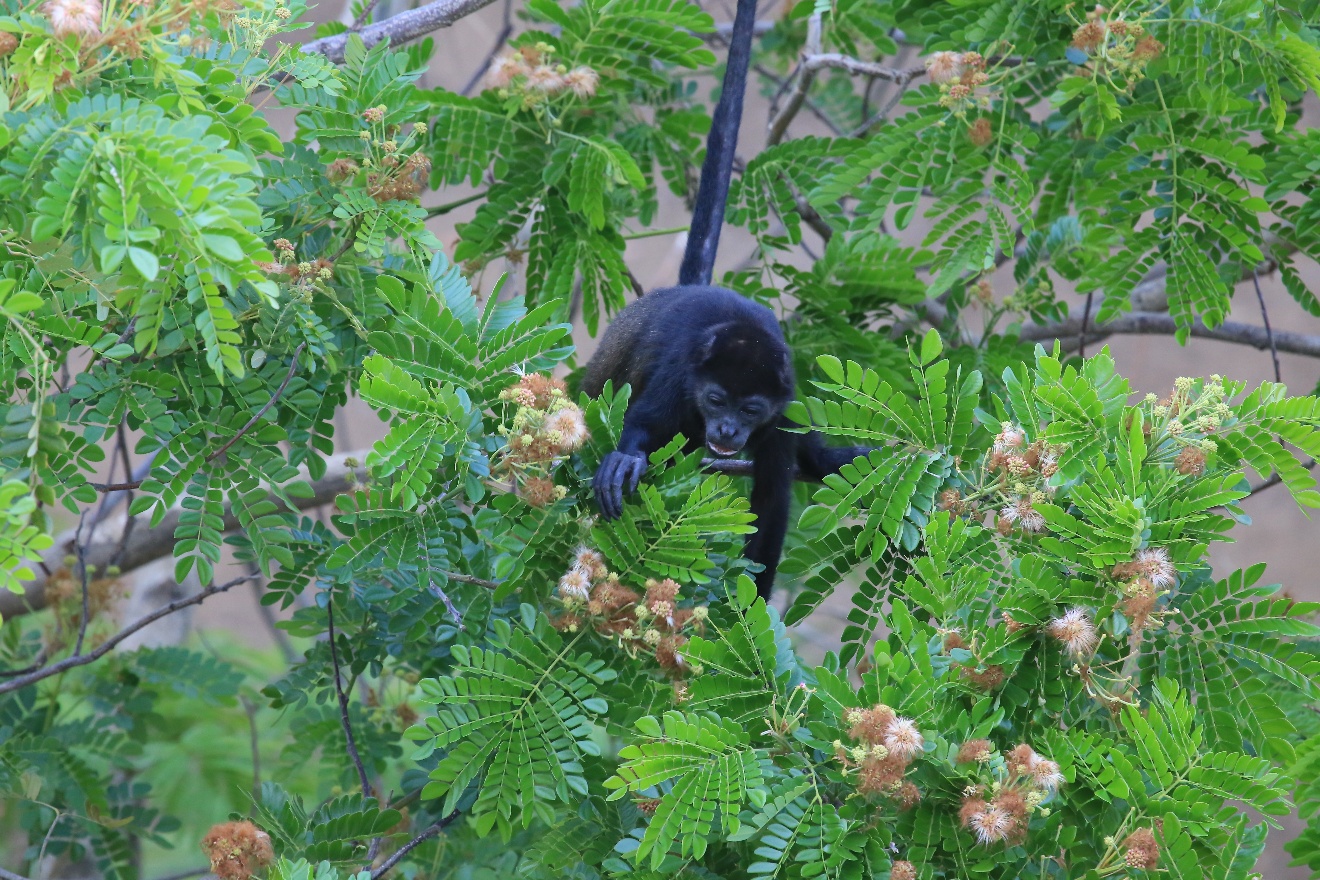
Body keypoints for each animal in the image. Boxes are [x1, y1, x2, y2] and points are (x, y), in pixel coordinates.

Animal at [582, 0, 871, 600]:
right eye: (716, 400)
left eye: (750, 409)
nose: (727, 432)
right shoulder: (678, 375)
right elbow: (641, 425)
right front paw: (625, 459)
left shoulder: (781, 414)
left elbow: (771, 507)